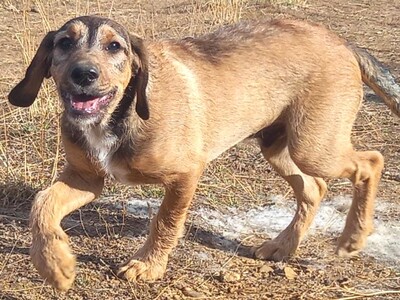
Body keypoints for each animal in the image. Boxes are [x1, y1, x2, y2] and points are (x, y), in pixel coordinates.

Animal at [7, 15, 400, 290]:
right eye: (63, 42)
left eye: (115, 47)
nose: (83, 74)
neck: (119, 116)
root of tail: (343, 42)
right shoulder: (85, 179)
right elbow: (42, 205)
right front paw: (55, 265)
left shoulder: (185, 174)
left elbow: (165, 221)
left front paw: (148, 266)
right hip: (279, 146)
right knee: (313, 188)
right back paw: (282, 247)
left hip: (316, 145)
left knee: (371, 162)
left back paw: (352, 238)